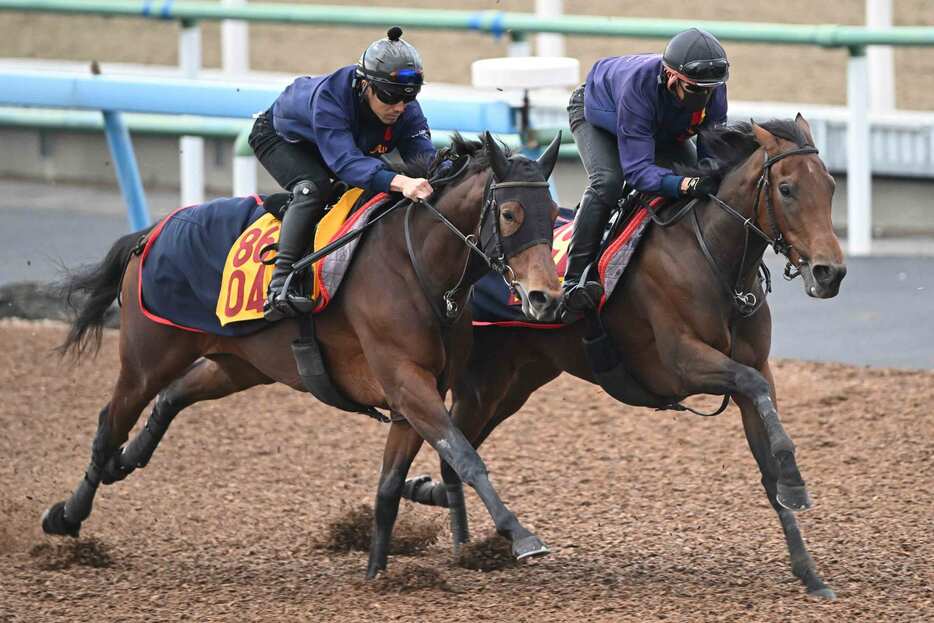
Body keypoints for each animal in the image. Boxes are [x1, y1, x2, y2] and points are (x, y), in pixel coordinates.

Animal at [42, 134, 564, 576]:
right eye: (511, 213)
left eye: (554, 211)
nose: (545, 298)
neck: (415, 265)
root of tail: (153, 231)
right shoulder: (406, 382)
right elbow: (464, 455)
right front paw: (520, 535)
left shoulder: (414, 396)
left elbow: (391, 485)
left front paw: (378, 573)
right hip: (147, 358)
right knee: (109, 423)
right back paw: (67, 515)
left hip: (241, 364)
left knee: (172, 395)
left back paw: (123, 463)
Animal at [402, 117, 848, 600]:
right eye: (786, 189)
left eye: (830, 186)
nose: (830, 273)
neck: (711, 255)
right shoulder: (681, 363)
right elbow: (752, 383)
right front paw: (796, 483)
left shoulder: (753, 365)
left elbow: (767, 455)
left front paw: (809, 570)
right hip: (482, 380)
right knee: (450, 445)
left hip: (513, 383)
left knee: (454, 451)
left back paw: (443, 518)